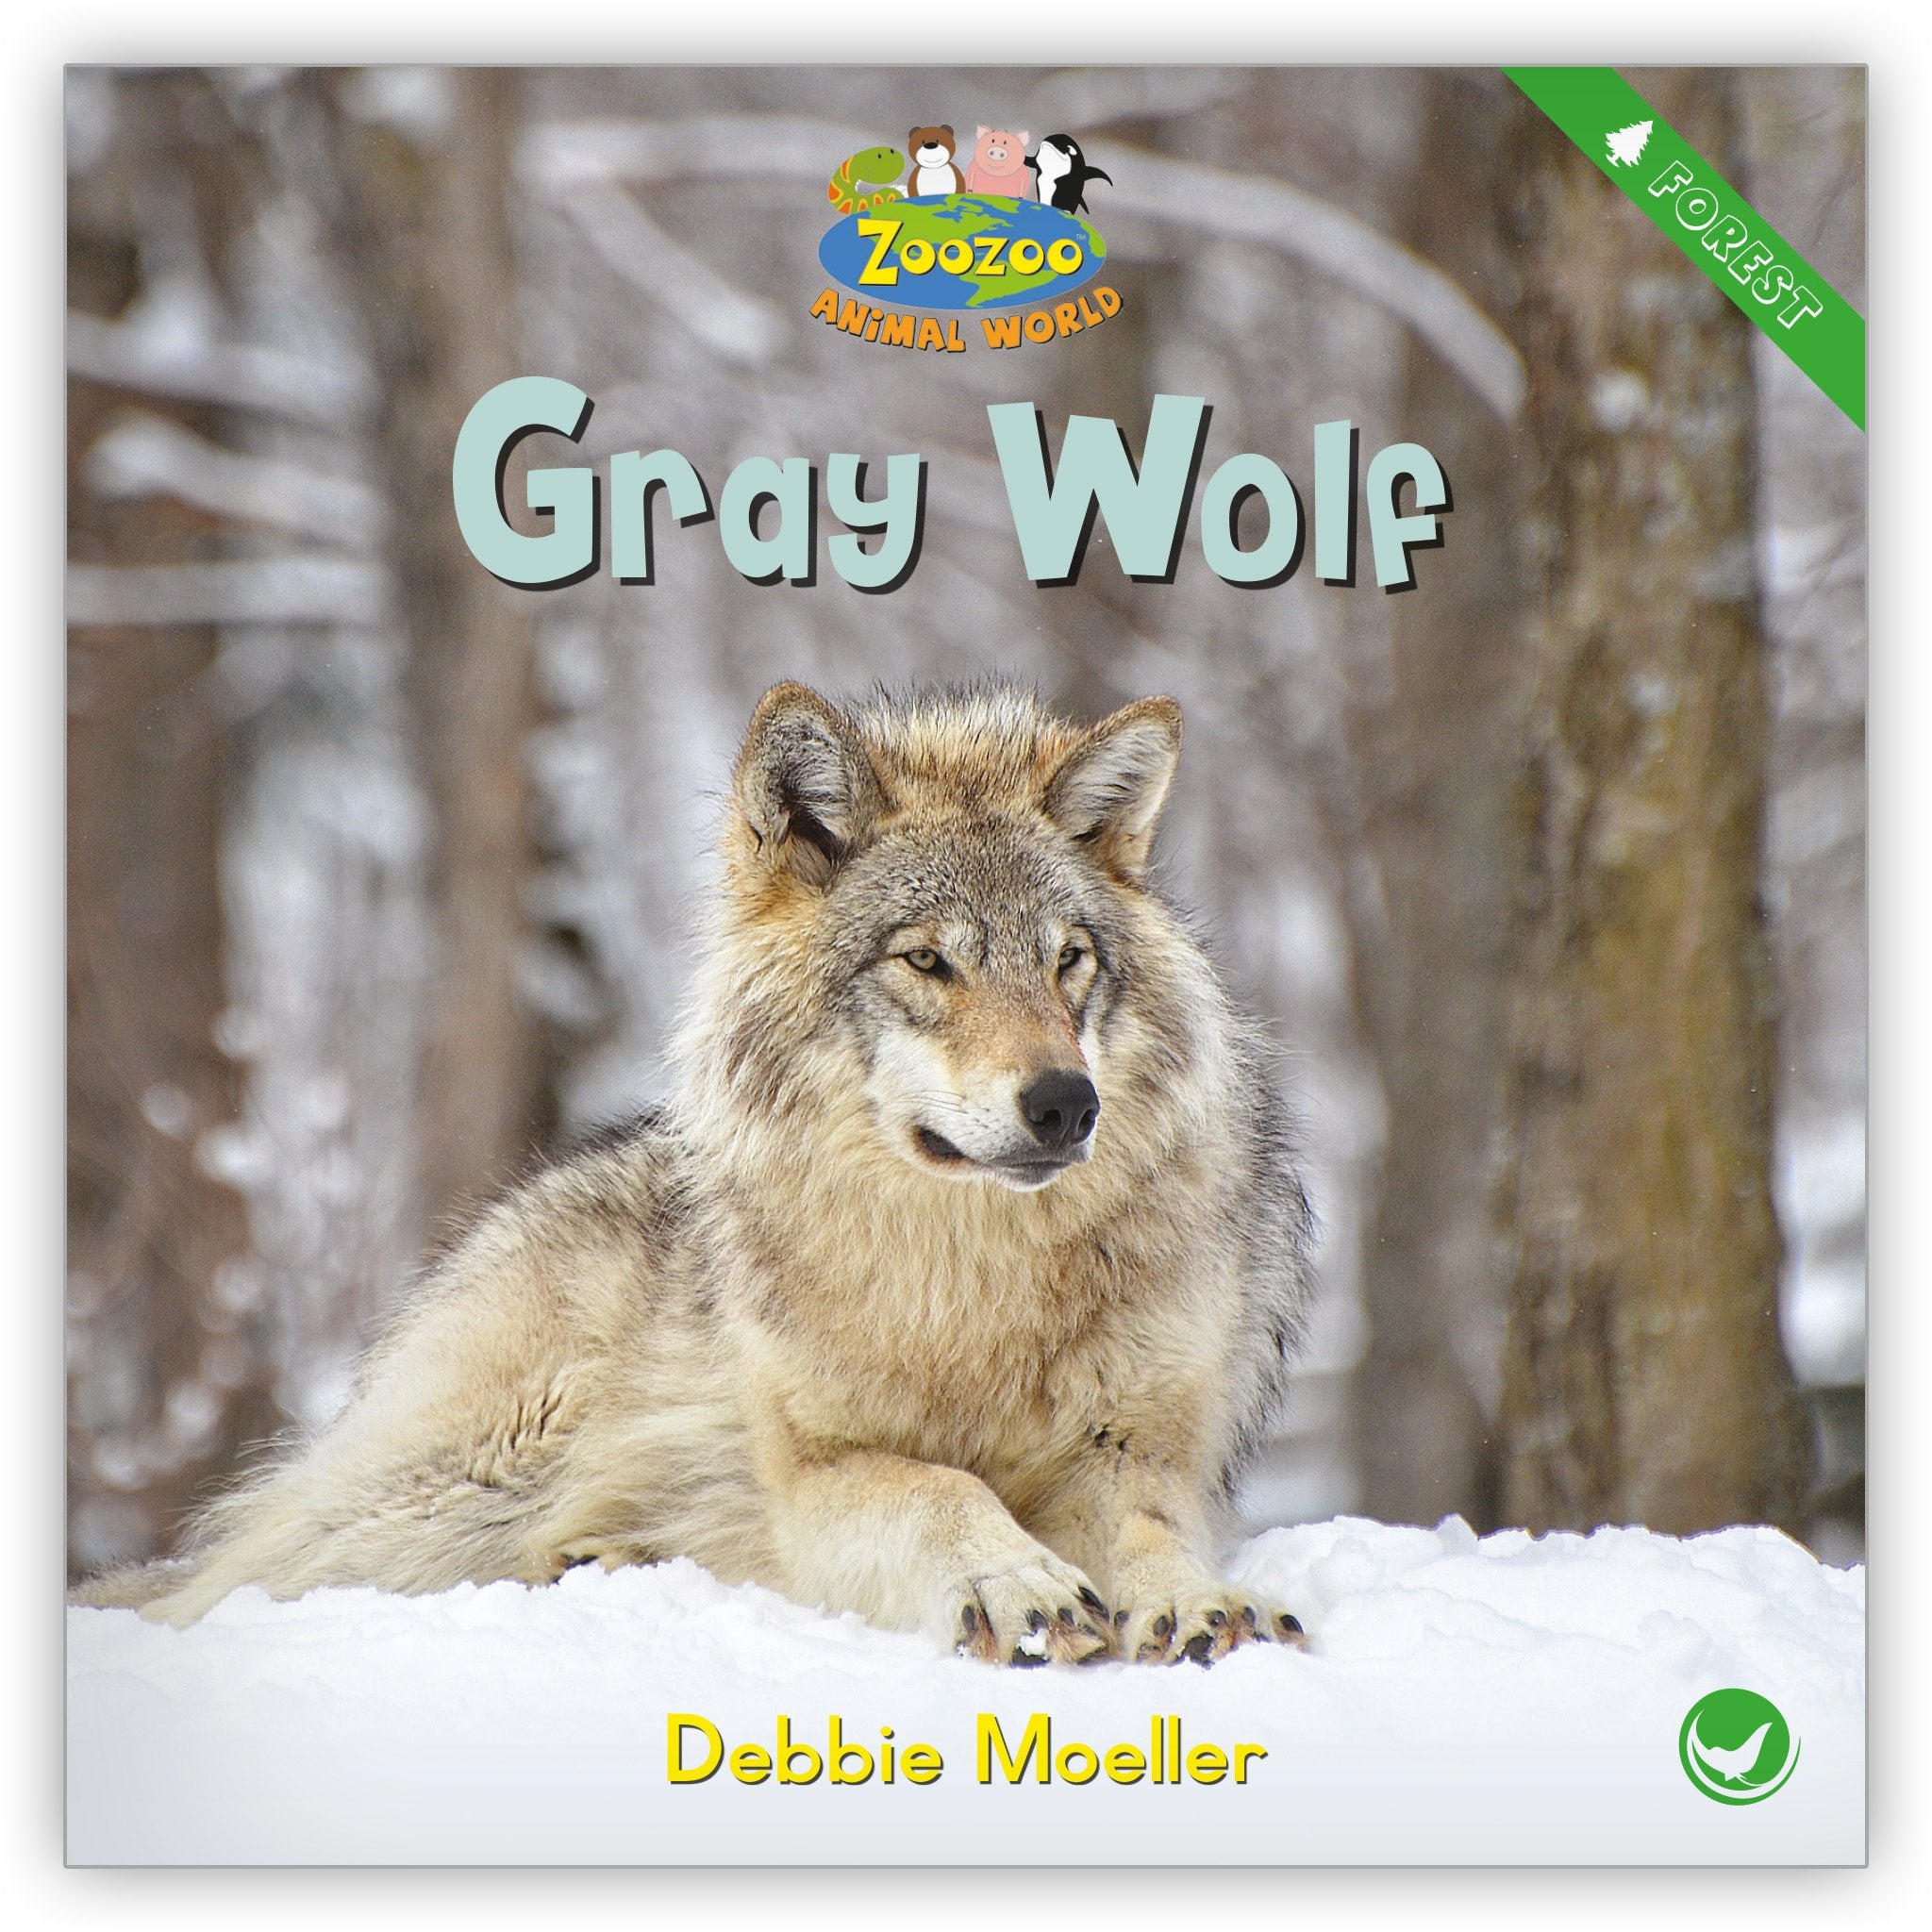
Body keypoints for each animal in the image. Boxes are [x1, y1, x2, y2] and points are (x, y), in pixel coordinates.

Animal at [79, 683, 1314, 1665]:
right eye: (926, 959)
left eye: (1069, 959)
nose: (1064, 1102)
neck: (972, 1283)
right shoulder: (817, 1468)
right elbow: (938, 1488)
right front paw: (1016, 1580)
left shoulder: (1136, 1445)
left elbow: (1148, 1527)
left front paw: (1199, 1601)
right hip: (448, 1495)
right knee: (226, 1576)